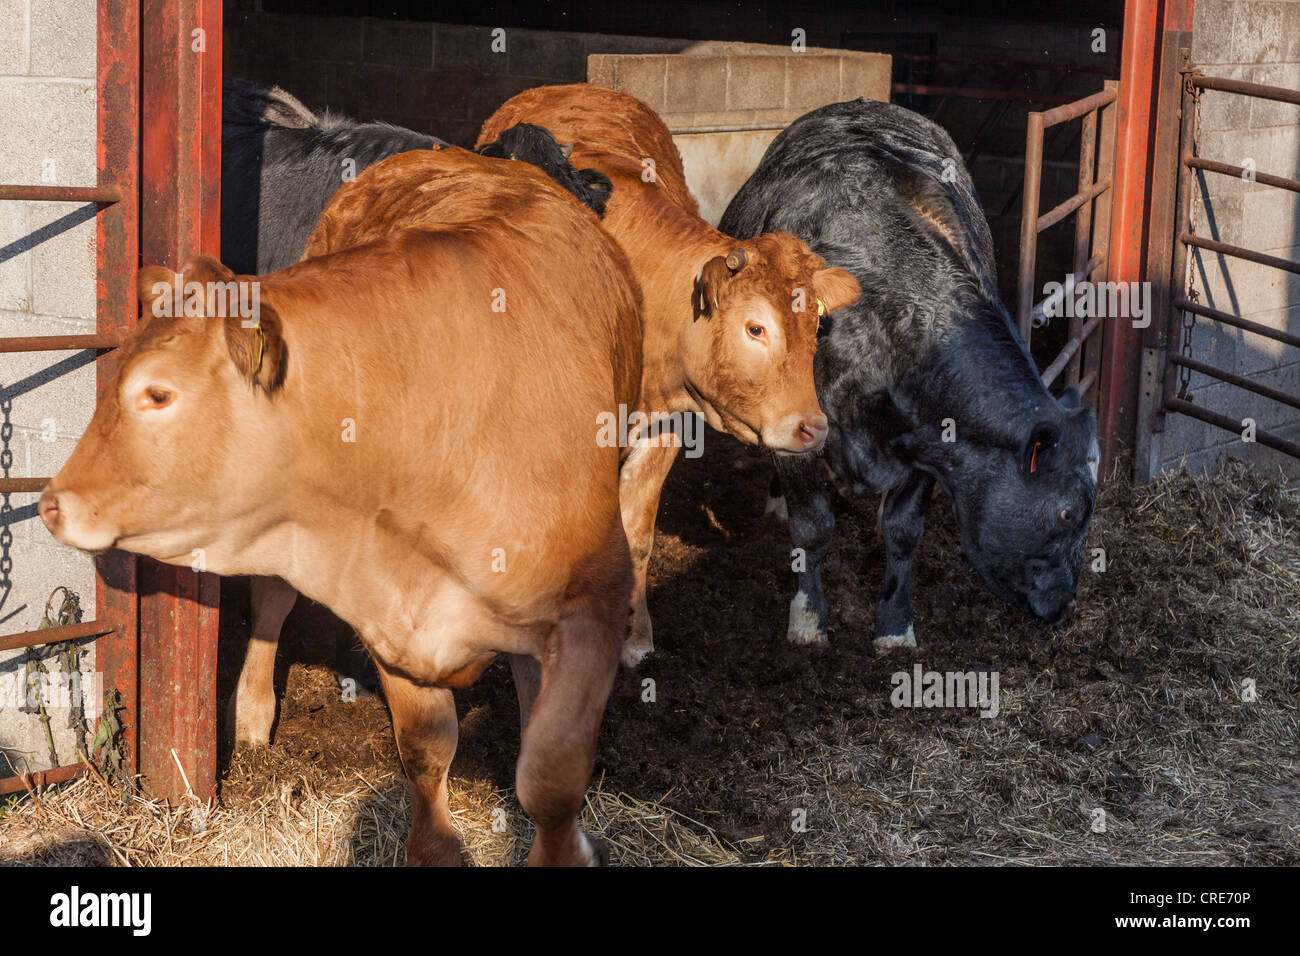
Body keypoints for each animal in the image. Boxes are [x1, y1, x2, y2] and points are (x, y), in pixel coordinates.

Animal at [40, 147, 643, 866]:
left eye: (157, 395)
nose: (52, 503)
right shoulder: (386, 605)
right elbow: (426, 748)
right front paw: (433, 849)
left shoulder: (592, 608)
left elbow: (551, 779)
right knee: (272, 599)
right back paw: (251, 715)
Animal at [477, 83, 861, 666]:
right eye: (756, 328)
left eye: (816, 325)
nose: (812, 428)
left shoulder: (665, 428)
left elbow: (635, 536)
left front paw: (634, 637)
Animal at [718, 98, 1099, 651]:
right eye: (1068, 513)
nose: (1067, 606)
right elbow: (813, 526)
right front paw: (807, 618)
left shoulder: (930, 437)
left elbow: (902, 531)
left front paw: (895, 626)